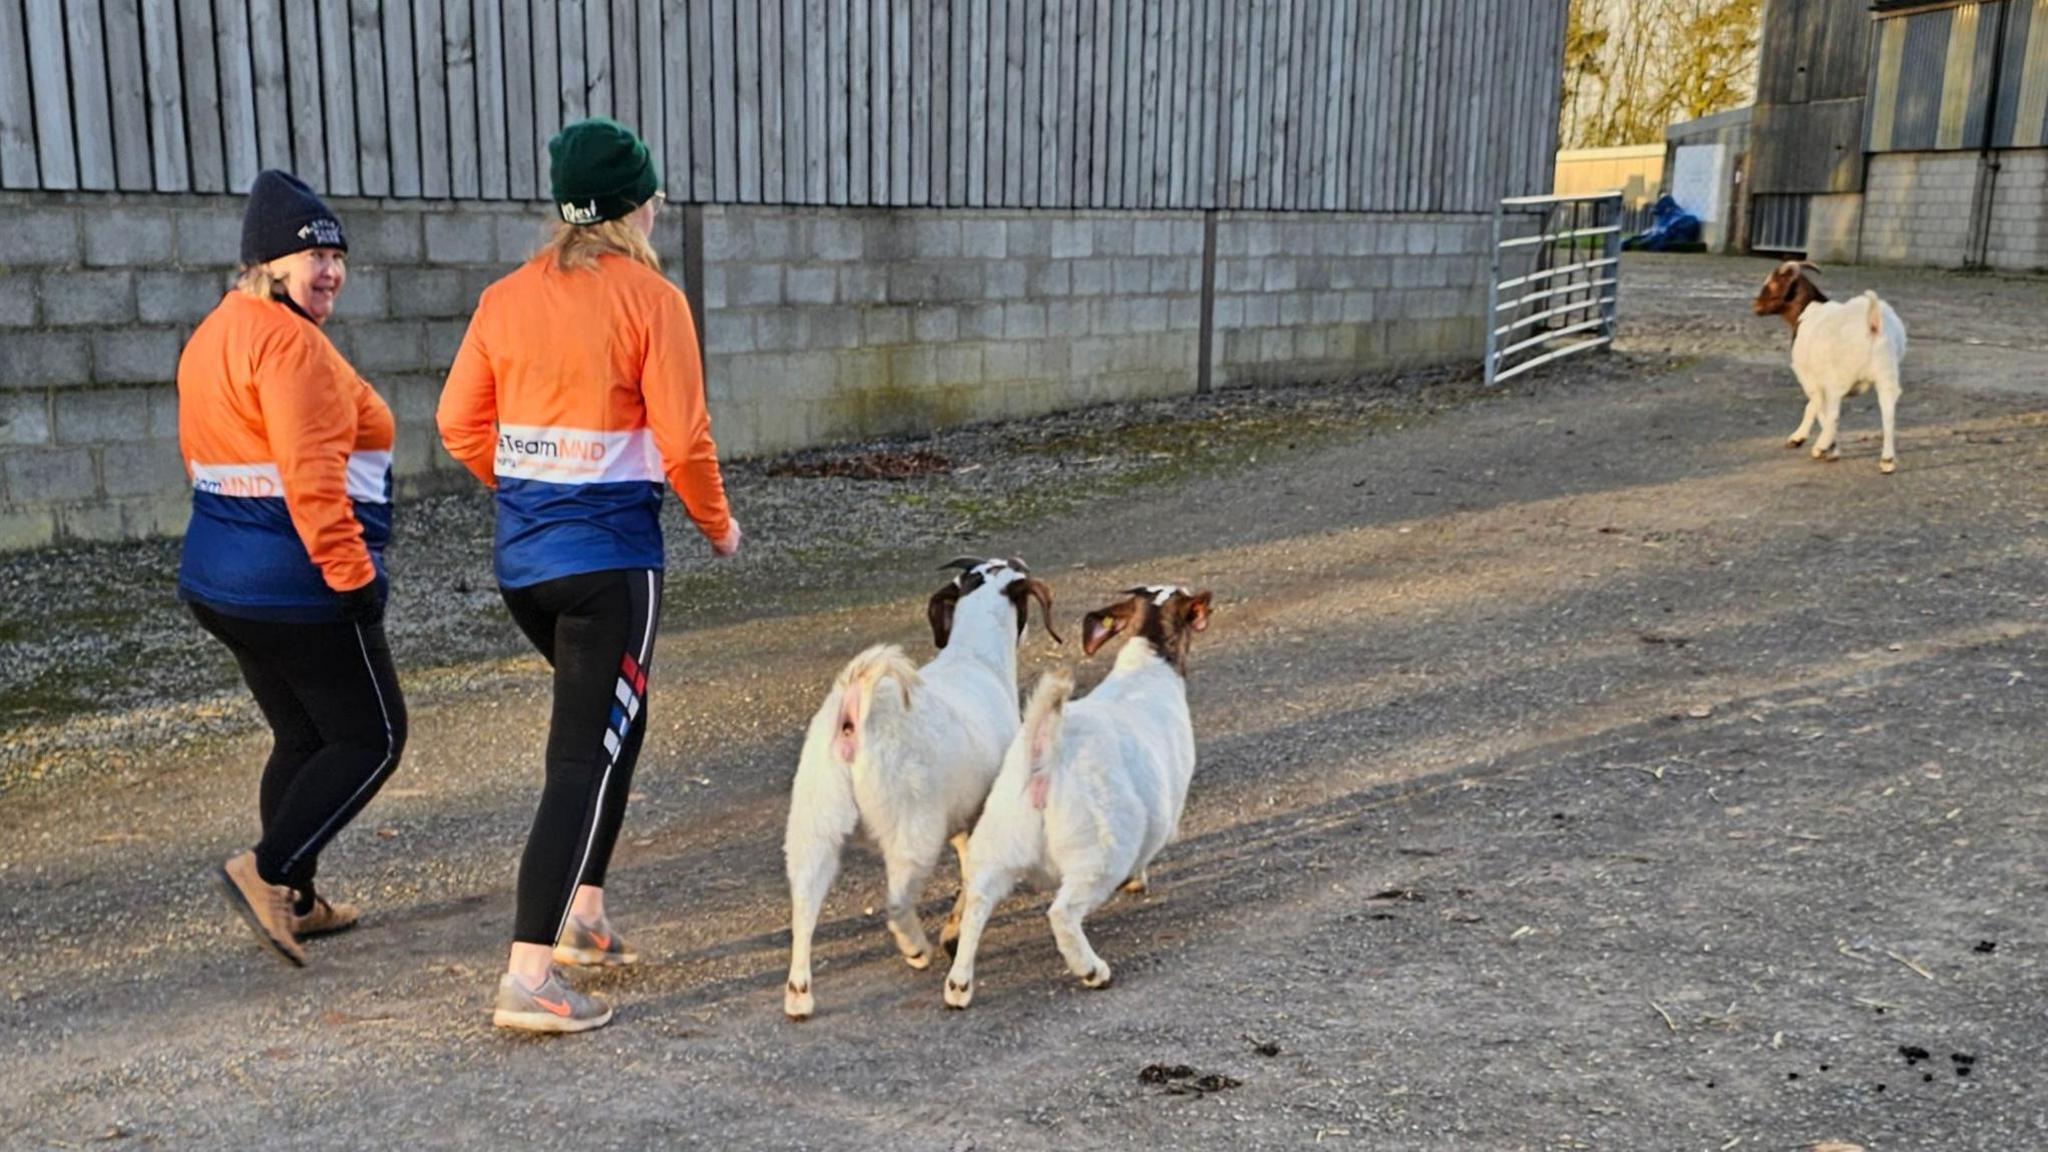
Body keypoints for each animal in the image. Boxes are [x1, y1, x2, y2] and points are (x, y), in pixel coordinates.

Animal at [778, 557, 1056, 1012]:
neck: (974, 657)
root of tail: (857, 704)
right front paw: (952, 936)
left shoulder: (963, 818)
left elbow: (966, 867)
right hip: (912, 827)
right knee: (895, 903)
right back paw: (915, 948)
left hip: (815, 822)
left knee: (804, 901)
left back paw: (799, 994)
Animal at [946, 582, 1212, 1004]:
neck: (1147, 662)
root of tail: (1043, 754)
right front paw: (1137, 881)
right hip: (1101, 854)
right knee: (1063, 913)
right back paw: (1092, 970)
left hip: (996, 847)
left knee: (977, 903)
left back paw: (958, 985)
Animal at [1753, 260, 1908, 471]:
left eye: (1774, 282)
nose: (1756, 306)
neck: (1808, 309)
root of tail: (1873, 324)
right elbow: (1816, 406)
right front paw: (1830, 448)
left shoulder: (1809, 377)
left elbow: (1815, 406)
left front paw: (1811, 443)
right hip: (1886, 374)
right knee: (1888, 412)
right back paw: (1887, 460)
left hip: (1840, 378)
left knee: (1835, 412)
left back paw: (1821, 445)